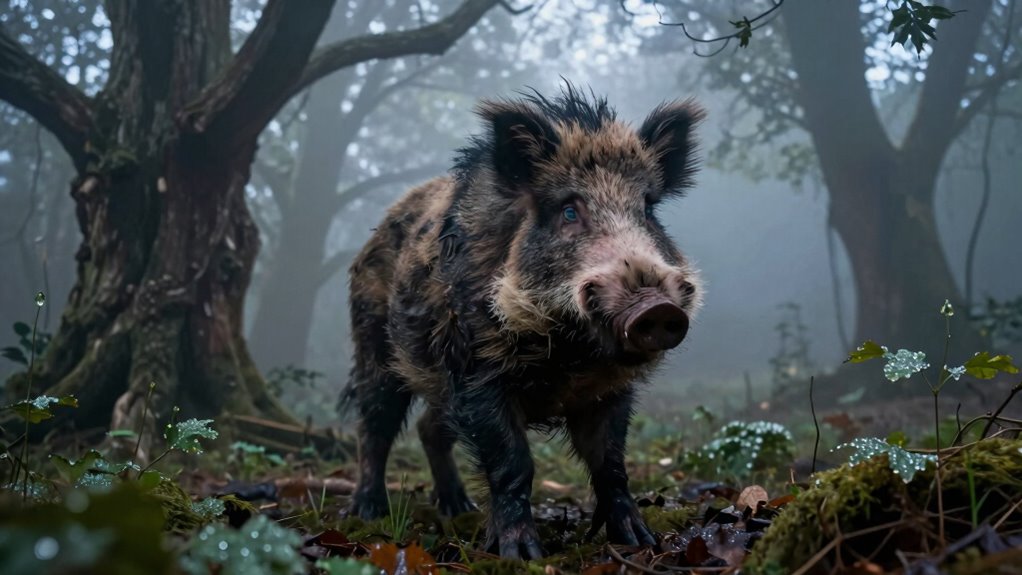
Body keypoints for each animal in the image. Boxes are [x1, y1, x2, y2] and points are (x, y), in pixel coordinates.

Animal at [343, 84, 704, 560]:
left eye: (647, 209)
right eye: (569, 211)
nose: (657, 307)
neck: (566, 352)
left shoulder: (609, 389)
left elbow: (610, 462)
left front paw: (638, 540)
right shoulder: (477, 373)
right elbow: (512, 462)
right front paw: (521, 554)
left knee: (429, 428)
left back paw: (458, 508)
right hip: (373, 343)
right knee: (374, 426)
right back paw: (368, 513)